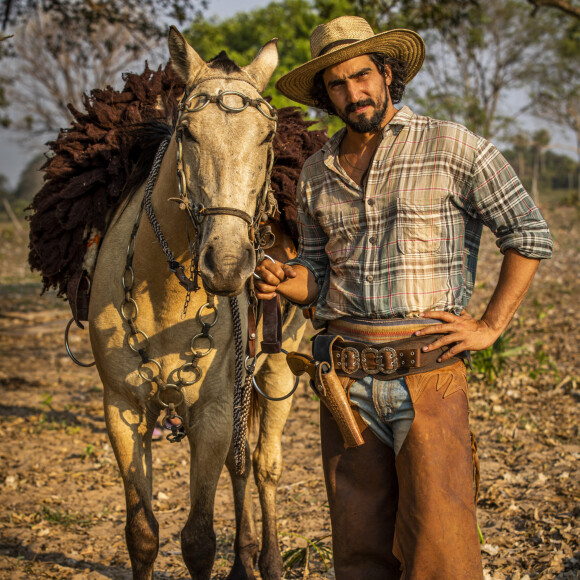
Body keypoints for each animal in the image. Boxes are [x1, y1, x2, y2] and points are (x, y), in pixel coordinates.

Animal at [88, 28, 306, 580]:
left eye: (267, 138)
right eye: (186, 132)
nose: (227, 266)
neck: (167, 298)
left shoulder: (210, 413)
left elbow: (199, 539)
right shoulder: (122, 408)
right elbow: (143, 534)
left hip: (277, 373)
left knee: (263, 465)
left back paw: (268, 560)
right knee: (241, 463)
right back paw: (245, 558)